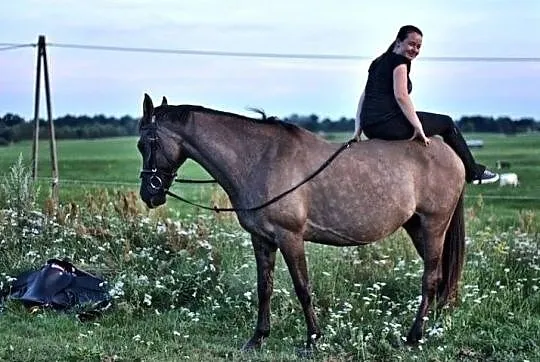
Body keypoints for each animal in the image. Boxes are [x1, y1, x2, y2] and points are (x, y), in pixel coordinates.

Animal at [137, 94, 466, 354]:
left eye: (149, 142)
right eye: (139, 144)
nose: (149, 194)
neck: (260, 159)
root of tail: (447, 152)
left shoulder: (290, 237)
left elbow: (302, 287)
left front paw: (313, 339)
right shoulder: (262, 239)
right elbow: (264, 287)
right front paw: (257, 339)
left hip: (434, 226)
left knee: (430, 278)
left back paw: (414, 336)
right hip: (416, 227)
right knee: (439, 275)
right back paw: (434, 323)